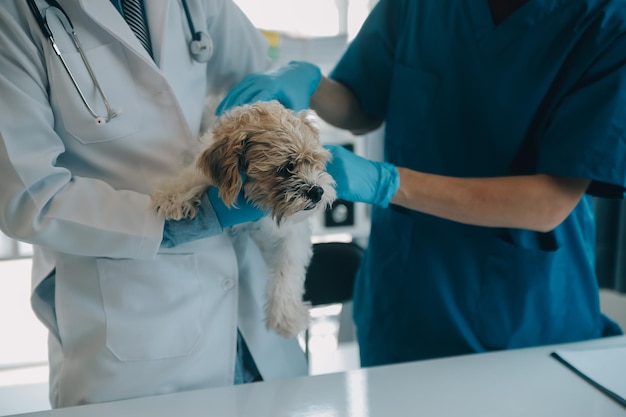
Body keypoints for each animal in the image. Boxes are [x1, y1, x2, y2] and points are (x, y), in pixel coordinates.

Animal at [150, 99, 336, 336]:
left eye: (316, 162)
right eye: (287, 168)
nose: (318, 191)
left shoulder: (292, 235)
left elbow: (287, 271)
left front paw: (285, 316)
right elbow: (194, 174)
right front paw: (172, 196)